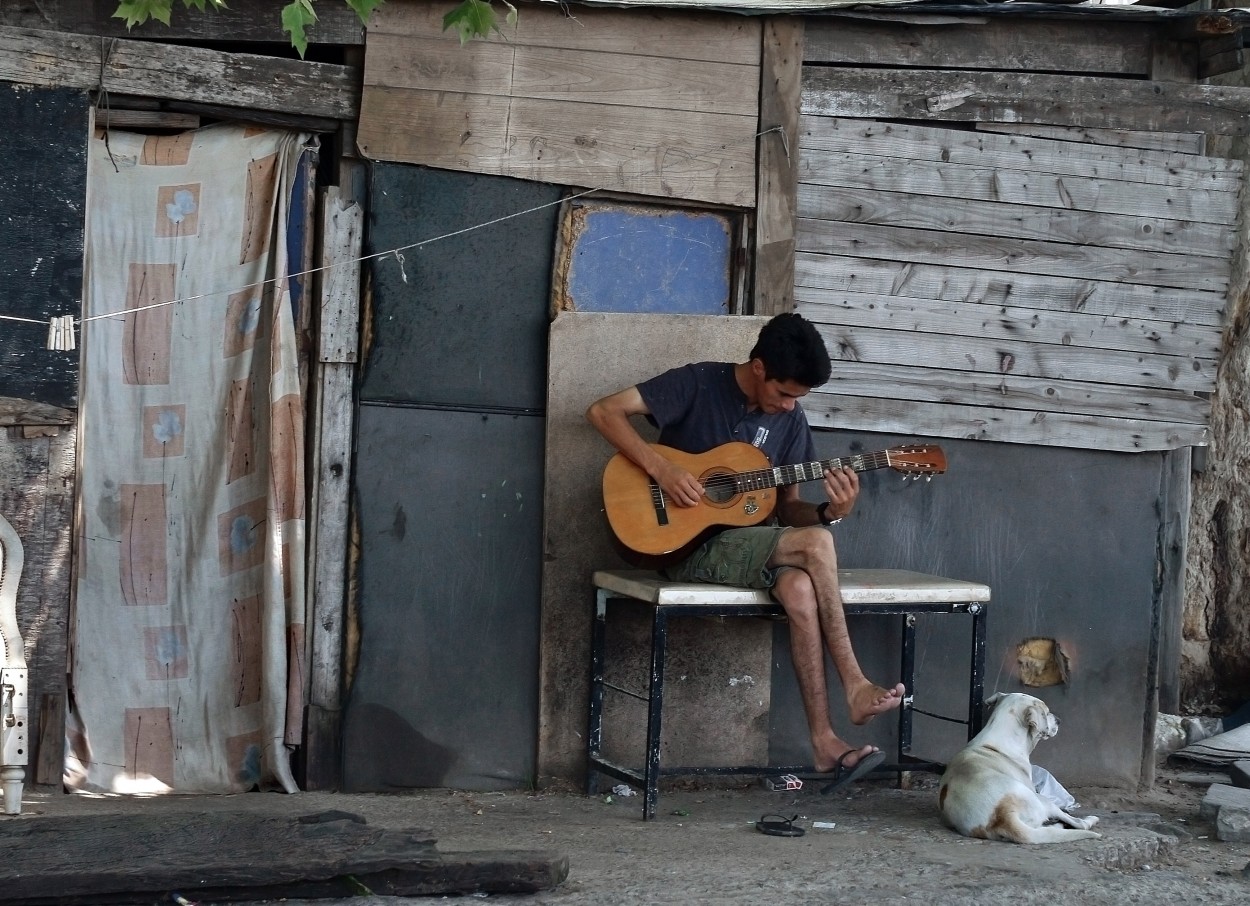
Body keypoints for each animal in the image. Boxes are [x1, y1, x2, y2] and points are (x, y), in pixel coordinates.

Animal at [940, 694, 1105, 839]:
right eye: (1046, 712)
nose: (1059, 720)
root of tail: (1004, 815)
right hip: (1043, 800)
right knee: (1076, 822)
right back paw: (1085, 820)